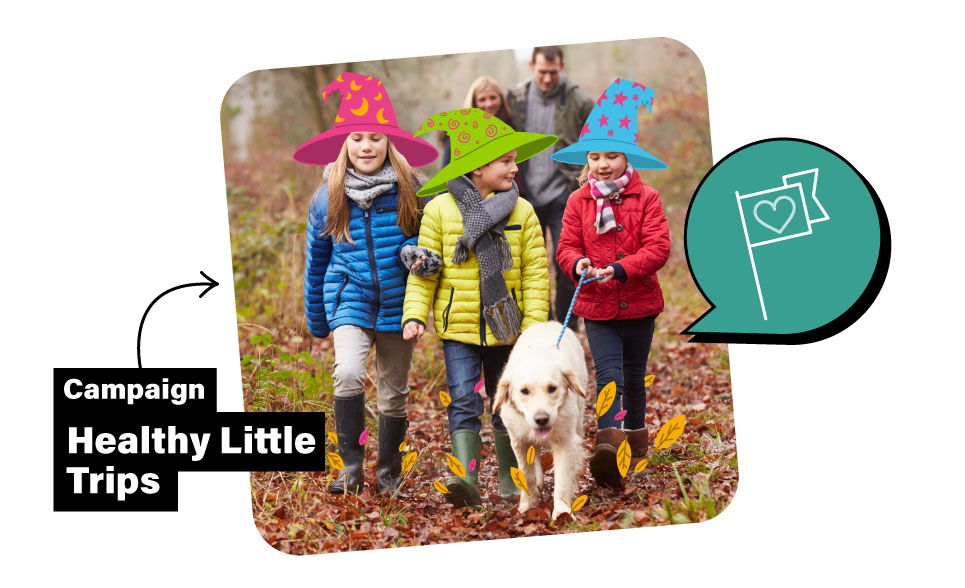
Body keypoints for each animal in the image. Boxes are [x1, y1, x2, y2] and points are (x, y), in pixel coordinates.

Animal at [490, 322, 588, 520]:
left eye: (552, 388)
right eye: (524, 391)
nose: (541, 419)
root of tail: (548, 323)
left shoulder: (566, 441)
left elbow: (563, 478)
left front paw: (562, 512)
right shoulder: (518, 440)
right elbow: (526, 475)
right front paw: (527, 505)